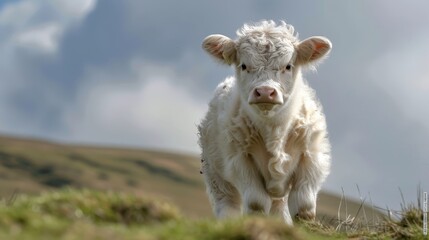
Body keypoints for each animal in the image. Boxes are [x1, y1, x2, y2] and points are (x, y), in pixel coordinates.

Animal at [197, 20, 332, 225]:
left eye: (288, 66)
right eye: (244, 65)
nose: (266, 92)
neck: (274, 131)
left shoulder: (311, 158)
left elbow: (304, 207)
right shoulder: (239, 161)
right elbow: (256, 203)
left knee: (279, 208)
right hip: (216, 175)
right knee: (228, 205)